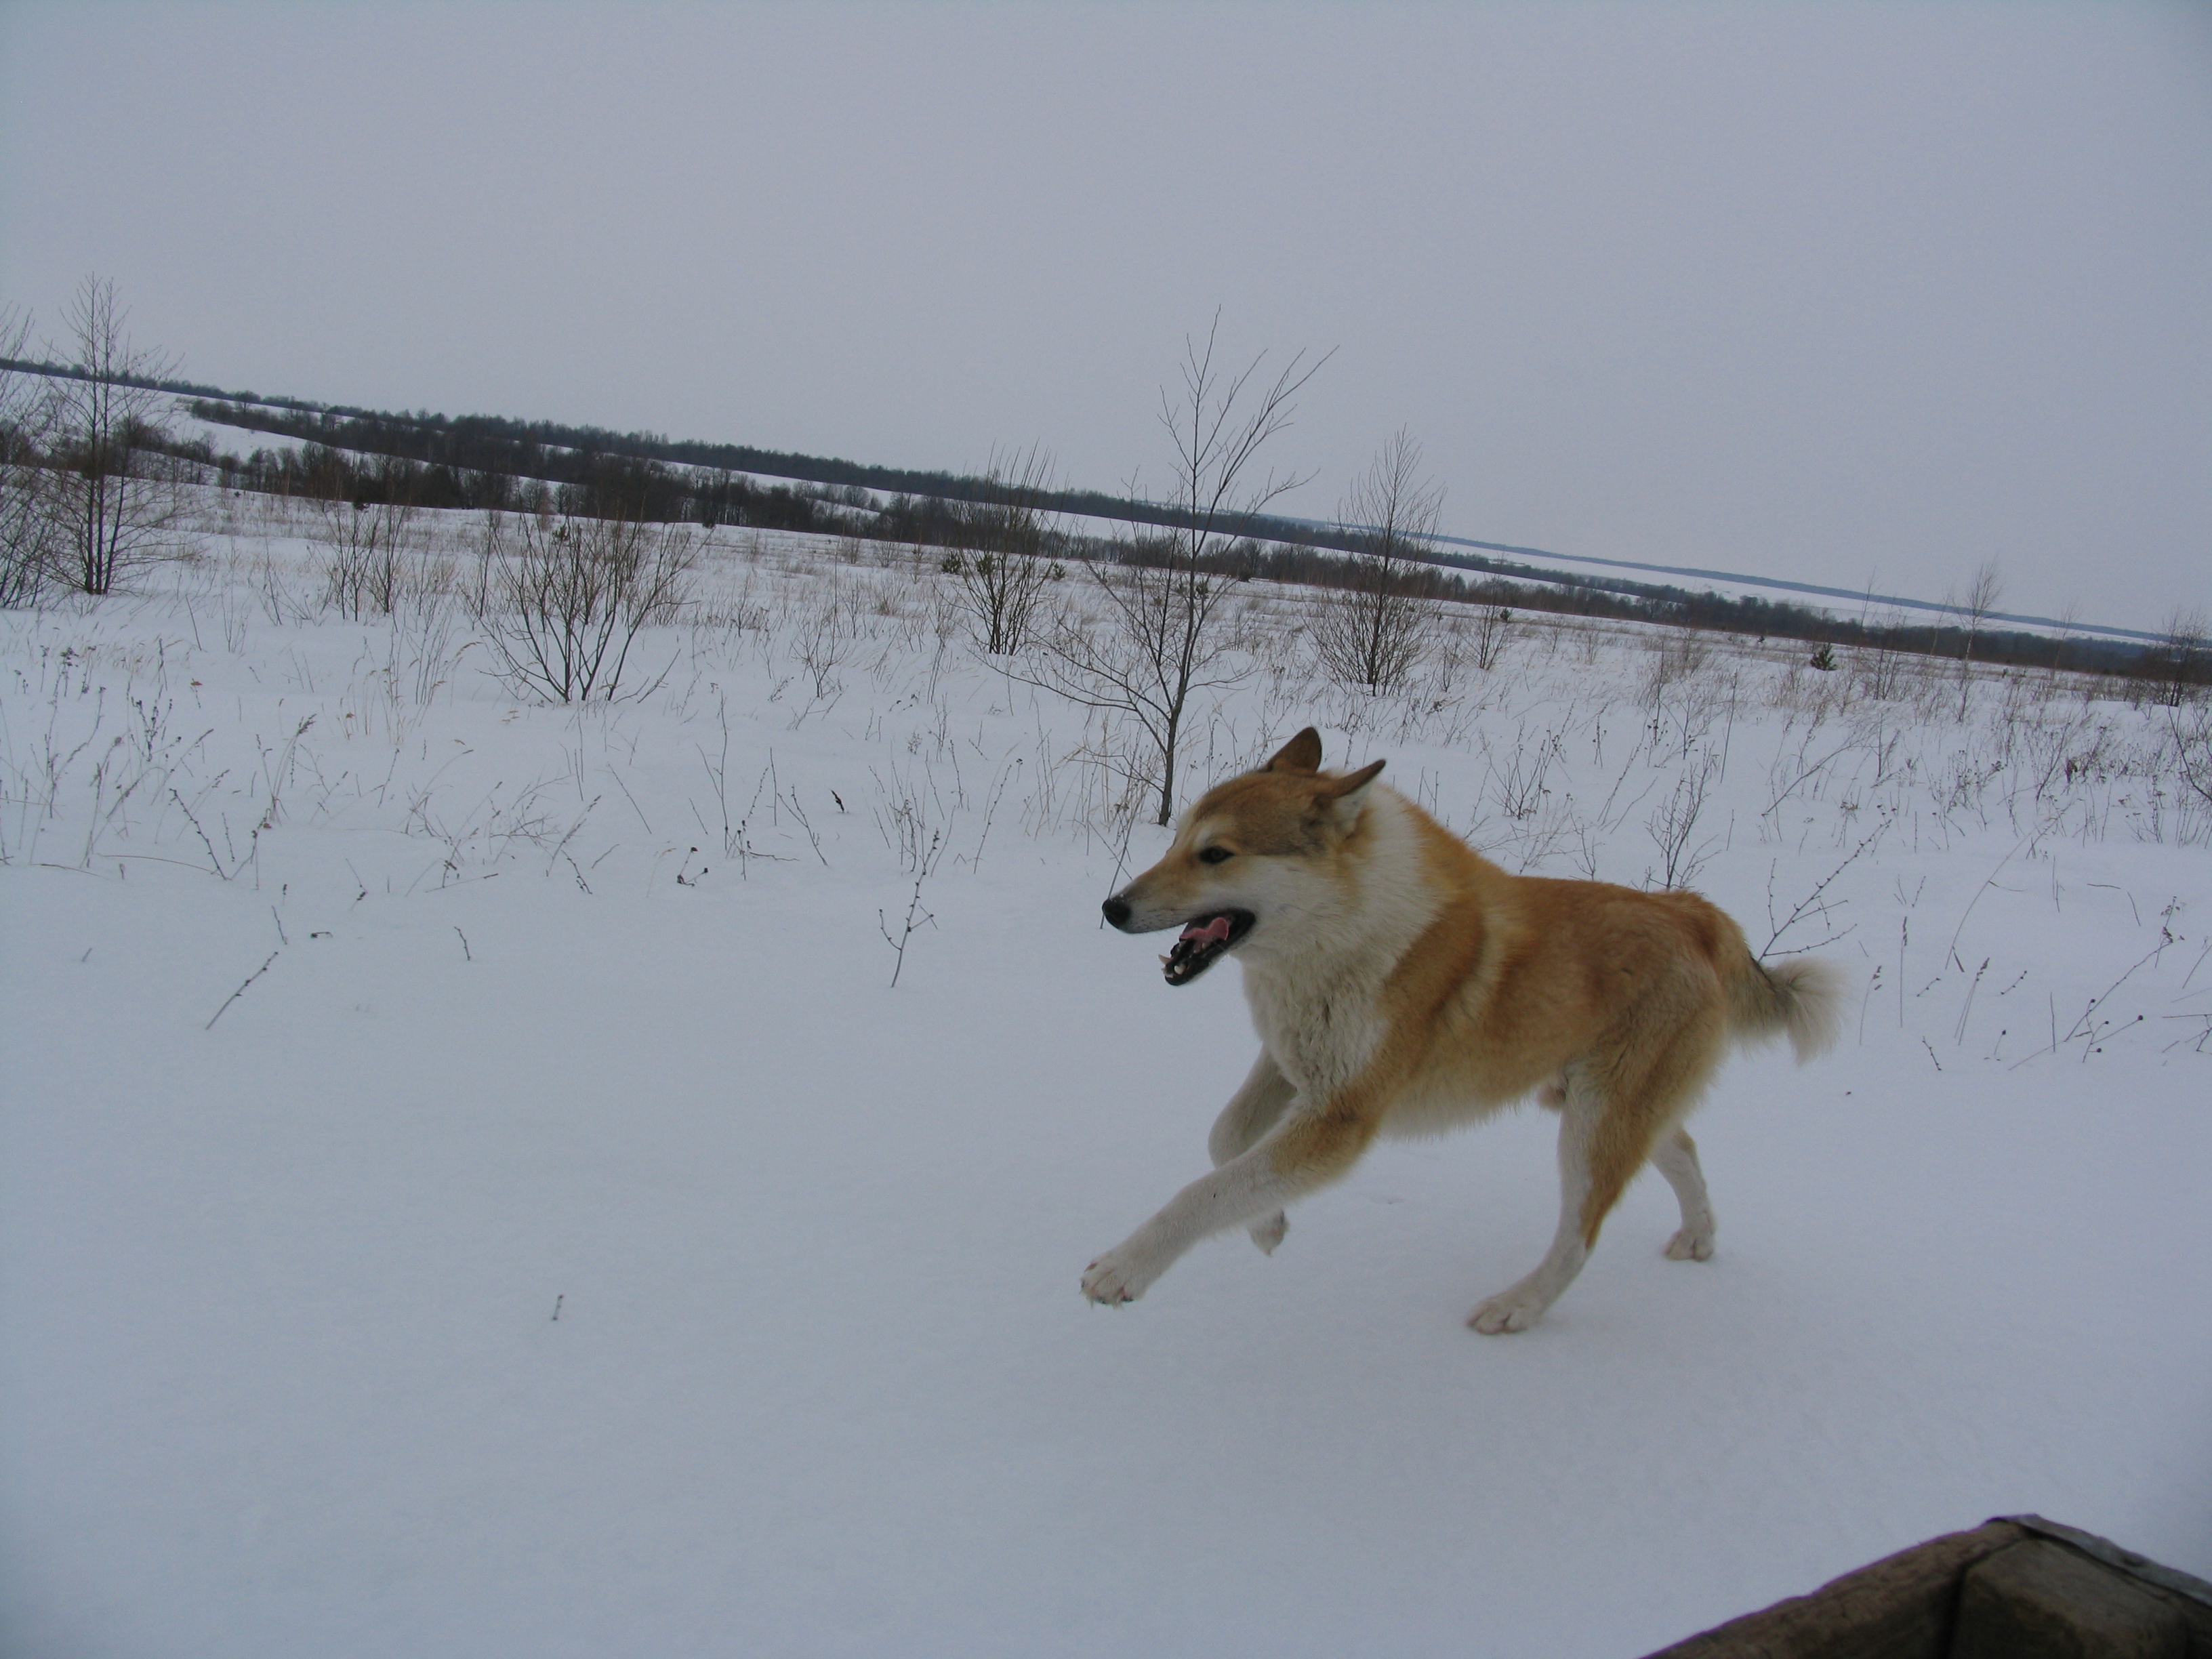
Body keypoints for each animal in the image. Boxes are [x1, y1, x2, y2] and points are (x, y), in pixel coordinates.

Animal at [1079, 725, 1840, 1336]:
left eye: (1216, 855)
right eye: (1179, 839)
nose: (1113, 908)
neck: (1344, 930)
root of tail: (1695, 915)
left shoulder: (1341, 1118)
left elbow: (1205, 1191)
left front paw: (1124, 1269)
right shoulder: (1290, 1063)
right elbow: (1227, 1142)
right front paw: (1268, 1225)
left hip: (1592, 1124)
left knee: (1580, 1236)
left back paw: (1517, 1308)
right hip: (1596, 1100)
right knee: (1681, 1147)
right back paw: (1700, 1237)